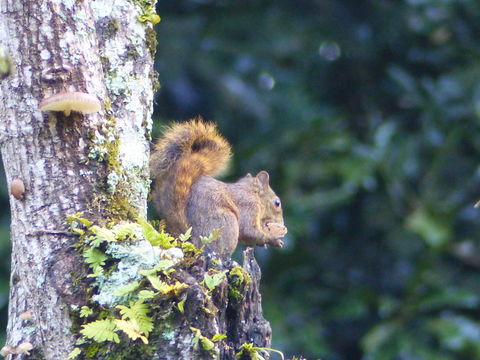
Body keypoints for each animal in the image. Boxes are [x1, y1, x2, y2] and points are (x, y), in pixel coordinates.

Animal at [150, 119, 286, 258]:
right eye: (277, 203)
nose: (282, 225)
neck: (252, 193)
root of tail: (193, 241)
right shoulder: (249, 205)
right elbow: (248, 230)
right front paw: (272, 240)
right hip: (226, 223)